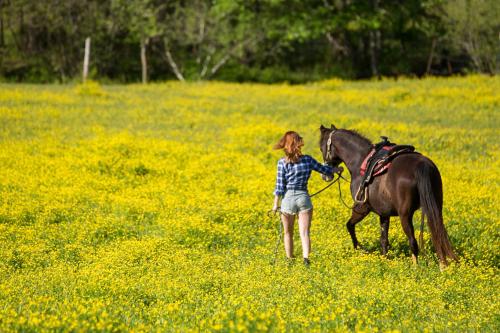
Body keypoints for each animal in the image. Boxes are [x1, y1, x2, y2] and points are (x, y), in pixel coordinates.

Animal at [320, 124, 458, 268]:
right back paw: (442, 265)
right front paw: (384, 259)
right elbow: (383, 239)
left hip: (405, 215)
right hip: (436, 207)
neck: (360, 161)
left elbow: (349, 225)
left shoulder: (362, 207)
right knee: (438, 233)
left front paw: (358, 248)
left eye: (321, 147)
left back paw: (416, 268)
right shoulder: (384, 212)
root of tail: (422, 165)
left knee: (413, 241)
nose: (325, 176)